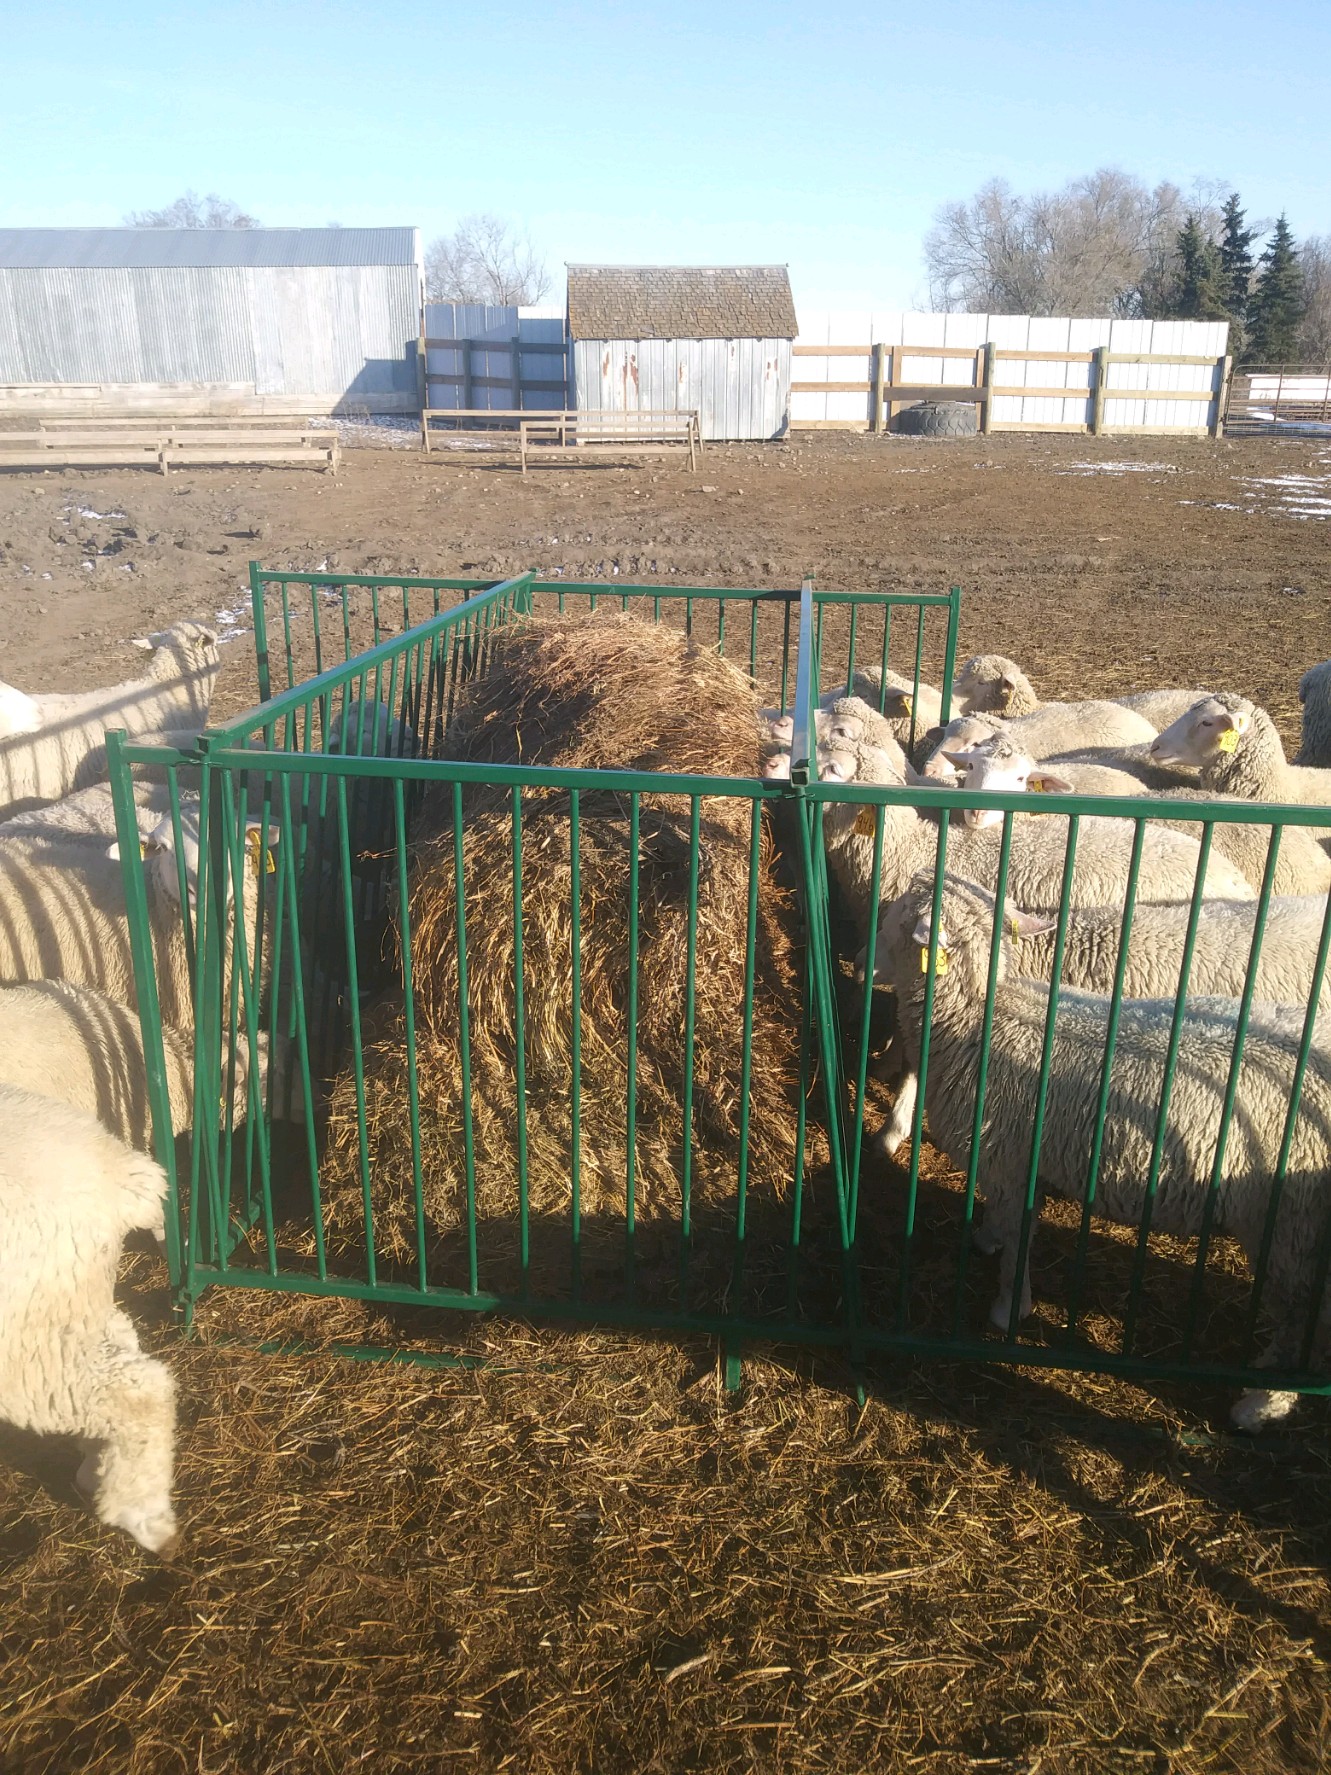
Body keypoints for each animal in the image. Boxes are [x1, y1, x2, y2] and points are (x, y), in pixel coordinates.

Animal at [0, 1085, 176, 1550]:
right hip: (69, 1303)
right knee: (123, 1344)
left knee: (139, 1391)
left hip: (24, 1342)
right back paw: (95, 1472)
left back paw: (146, 1518)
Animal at [881, 873, 1331, 1429]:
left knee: (1301, 1317)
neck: (981, 1020)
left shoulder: (1008, 1159)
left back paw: (1260, 1403)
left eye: (897, 916)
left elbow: (1018, 1238)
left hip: (1290, 1222)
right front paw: (987, 1240)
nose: (862, 961)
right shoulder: (1014, 1159)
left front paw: (1009, 1307)